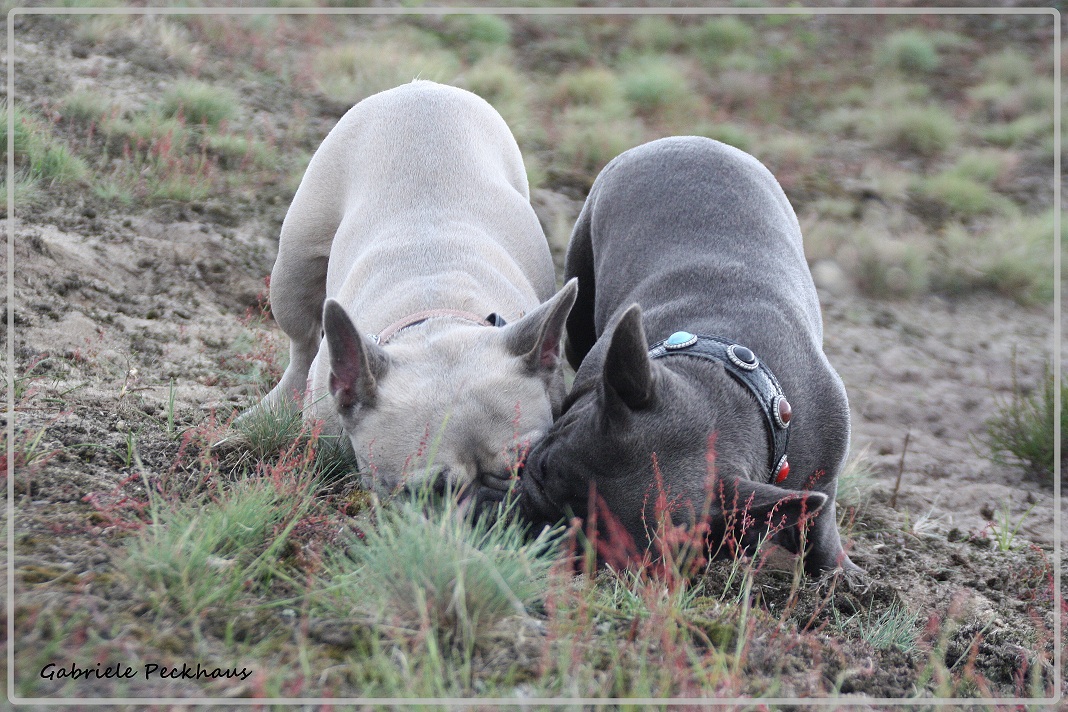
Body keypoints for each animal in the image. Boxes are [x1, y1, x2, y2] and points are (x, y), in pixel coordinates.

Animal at [252, 80, 576, 499]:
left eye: (525, 463)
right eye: (424, 492)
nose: (488, 505)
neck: (435, 311)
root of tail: (422, 87)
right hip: (295, 263)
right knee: (301, 342)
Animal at [510, 136, 858, 576]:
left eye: (608, 555)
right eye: (540, 469)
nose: (534, 530)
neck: (725, 388)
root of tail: (693, 141)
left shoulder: (821, 480)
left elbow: (820, 525)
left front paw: (840, 573)